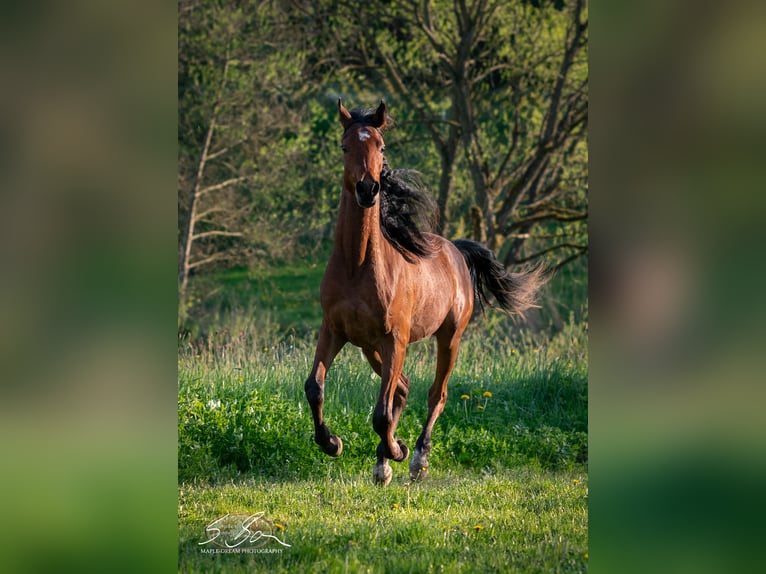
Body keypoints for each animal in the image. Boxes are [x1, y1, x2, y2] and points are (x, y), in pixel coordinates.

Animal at [304, 99, 547, 485]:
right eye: (344, 146)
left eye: (381, 146)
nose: (368, 189)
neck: (357, 265)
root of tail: (456, 250)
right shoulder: (334, 330)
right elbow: (315, 387)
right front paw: (333, 443)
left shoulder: (395, 339)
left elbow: (381, 413)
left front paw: (397, 451)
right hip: (371, 347)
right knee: (401, 388)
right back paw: (386, 461)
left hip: (447, 338)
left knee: (435, 395)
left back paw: (416, 457)